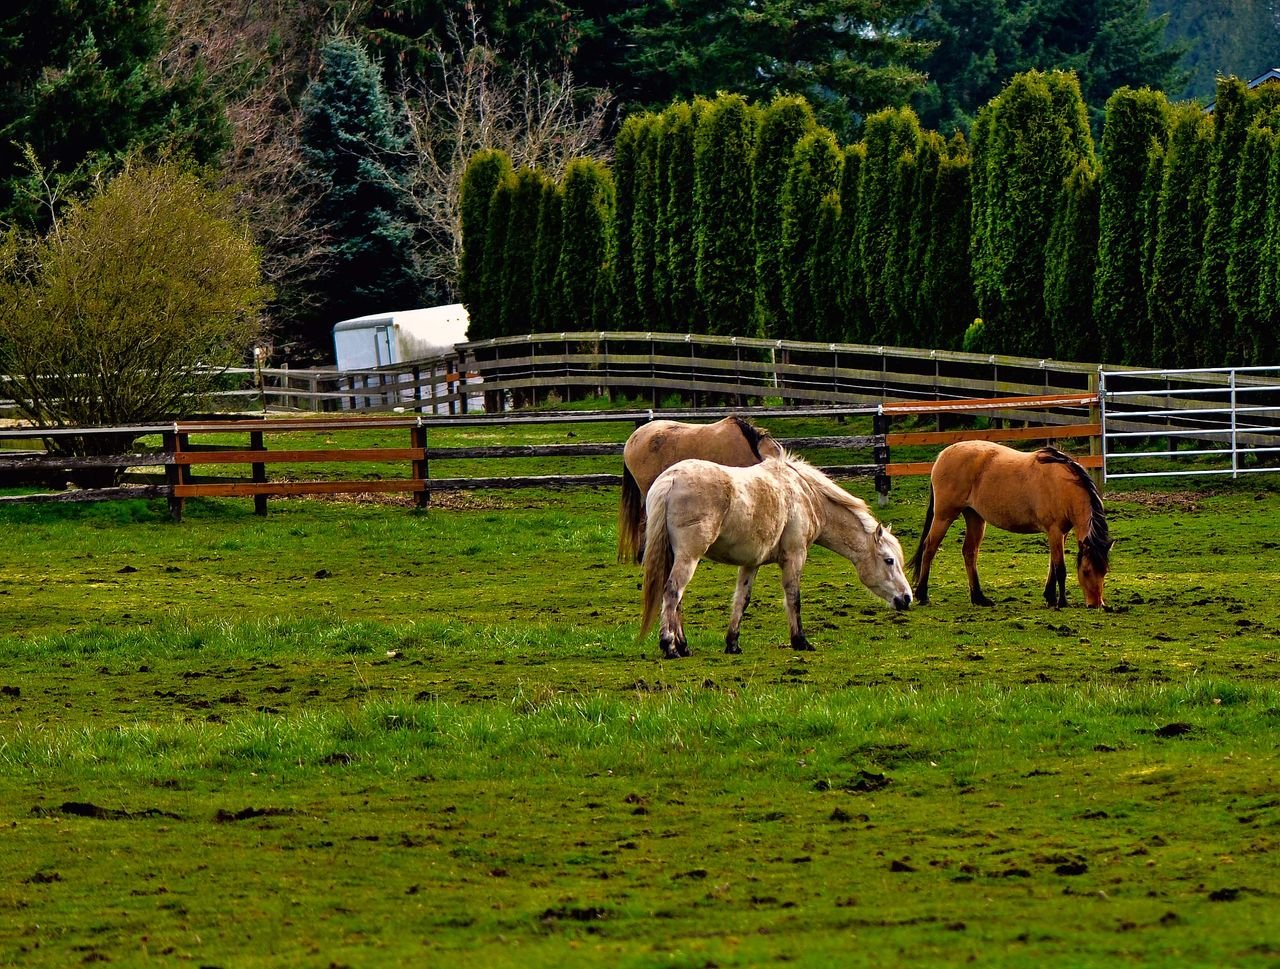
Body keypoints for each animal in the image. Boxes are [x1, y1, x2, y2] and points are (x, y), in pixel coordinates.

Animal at [639, 452, 912, 659]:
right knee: (673, 592)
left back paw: (683, 646)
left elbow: (742, 600)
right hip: (689, 557)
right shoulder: (795, 556)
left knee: (677, 600)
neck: (806, 495)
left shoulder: (750, 564)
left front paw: (732, 643)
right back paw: (670, 646)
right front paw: (800, 641)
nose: (907, 598)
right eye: (889, 561)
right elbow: (794, 597)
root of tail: (671, 478)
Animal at [908, 441, 1114, 609]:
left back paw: (979, 598)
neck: (1063, 484)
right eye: (1086, 571)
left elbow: (1052, 567)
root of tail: (942, 455)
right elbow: (1060, 569)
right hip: (944, 516)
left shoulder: (1061, 533)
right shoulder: (1054, 531)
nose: (1096, 604)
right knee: (929, 548)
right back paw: (923, 595)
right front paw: (1061, 602)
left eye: (1104, 571)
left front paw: (1050, 597)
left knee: (969, 552)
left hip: (975, 517)